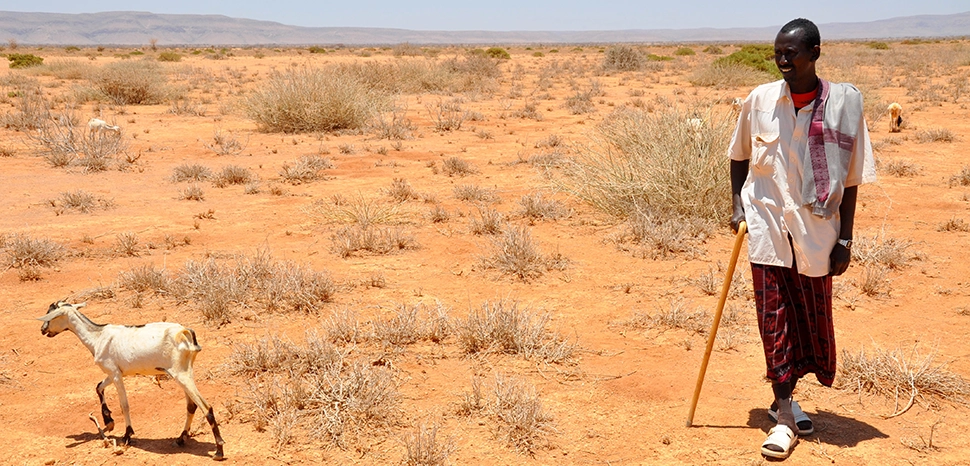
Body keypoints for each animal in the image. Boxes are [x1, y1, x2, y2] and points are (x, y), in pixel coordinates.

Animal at [38, 301, 225, 461]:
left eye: (51, 314)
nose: (42, 329)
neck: (97, 336)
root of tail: (185, 332)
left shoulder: (115, 374)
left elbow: (124, 405)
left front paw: (127, 435)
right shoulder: (114, 372)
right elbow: (98, 387)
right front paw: (109, 422)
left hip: (181, 374)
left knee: (206, 407)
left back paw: (219, 450)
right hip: (183, 373)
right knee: (191, 406)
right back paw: (180, 439)